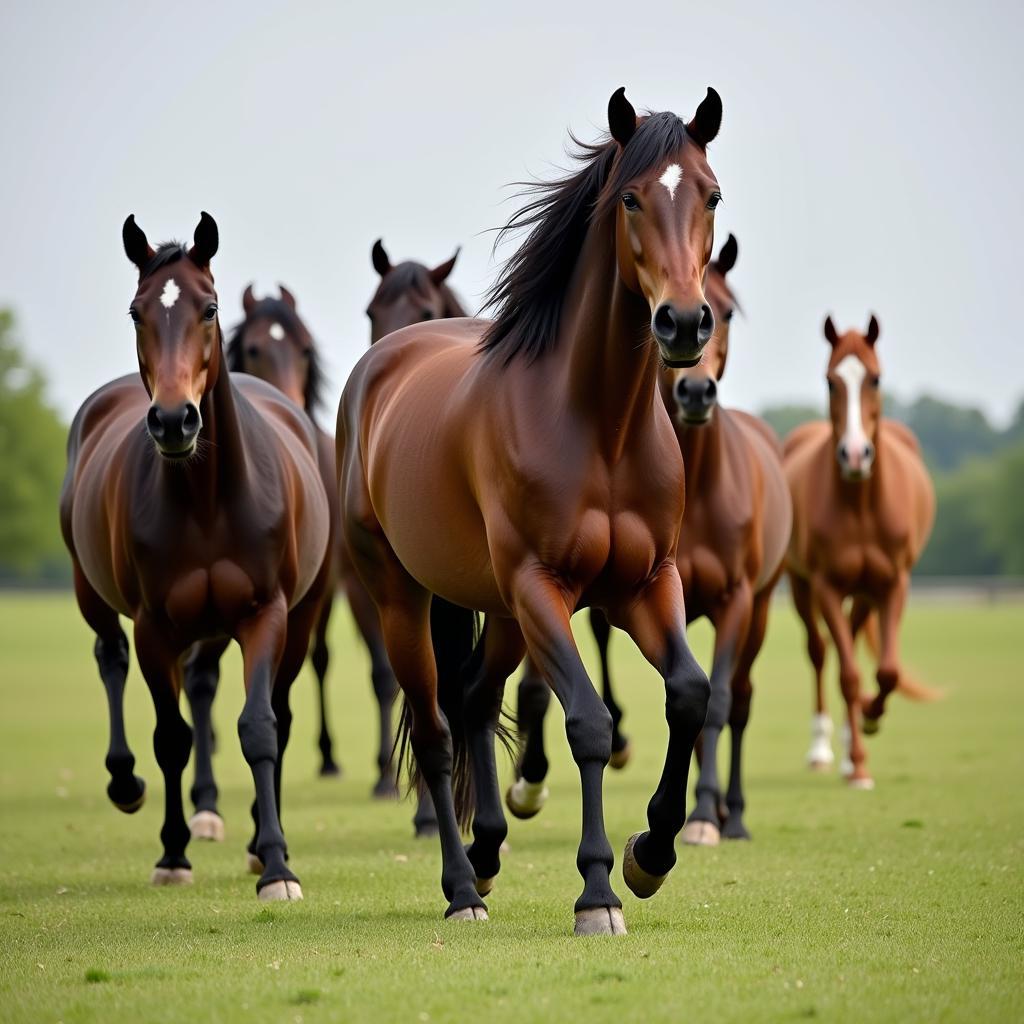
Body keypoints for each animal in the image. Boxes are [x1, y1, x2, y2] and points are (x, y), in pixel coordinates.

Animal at [59, 214, 329, 897]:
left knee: (277, 712)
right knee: (111, 657)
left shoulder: (267, 614)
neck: (208, 500)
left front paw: (276, 864)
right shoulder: (156, 627)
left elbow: (260, 727)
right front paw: (173, 852)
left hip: (299, 618)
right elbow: (171, 737)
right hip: (90, 591)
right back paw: (125, 782)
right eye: (136, 312)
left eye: (208, 308)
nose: (175, 420)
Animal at [339, 88, 724, 937]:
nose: (683, 322)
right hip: (405, 598)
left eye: (711, 196)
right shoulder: (541, 585)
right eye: (631, 198)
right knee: (440, 729)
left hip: (504, 611)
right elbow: (588, 723)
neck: (598, 425)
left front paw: (651, 854)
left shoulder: (647, 584)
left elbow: (689, 693)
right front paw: (598, 891)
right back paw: (462, 888)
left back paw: (487, 852)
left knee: (476, 699)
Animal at [509, 237, 790, 847]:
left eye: (728, 312)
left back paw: (733, 812)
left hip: (759, 609)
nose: (697, 390)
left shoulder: (734, 599)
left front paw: (705, 813)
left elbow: (719, 702)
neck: (703, 486)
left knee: (742, 701)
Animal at [782, 315, 937, 786]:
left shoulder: (893, 585)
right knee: (821, 653)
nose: (854, 454)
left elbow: (888, 671)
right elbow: (848, 675)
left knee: (846, 643)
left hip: (866, 593)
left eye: (875, 378)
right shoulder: (827, 586)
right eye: (830, 381)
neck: (860, 506)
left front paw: (869, 718)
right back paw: (824, 749)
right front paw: (859, 764)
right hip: (801, 586)